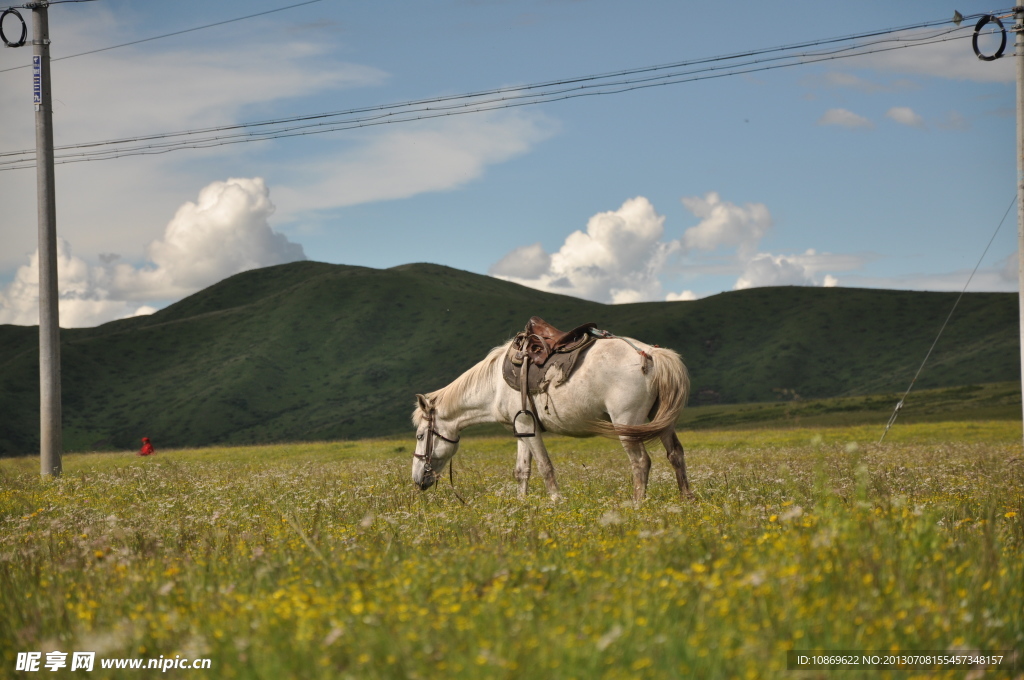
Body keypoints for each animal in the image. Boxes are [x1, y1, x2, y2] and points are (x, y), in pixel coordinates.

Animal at [411, 333, 692, 499]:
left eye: (420, 435)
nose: (417, 480)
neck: (494, 385)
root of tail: (652, 354)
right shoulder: (521, 430)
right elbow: (521, 470)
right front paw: (521, 505)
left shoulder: (529, 425)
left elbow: (545, 467)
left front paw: (556, 502)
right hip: (662, 421)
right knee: (675, 455)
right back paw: (686, 499)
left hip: (627, 423)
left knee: (641, 462)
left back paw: (637, 505)